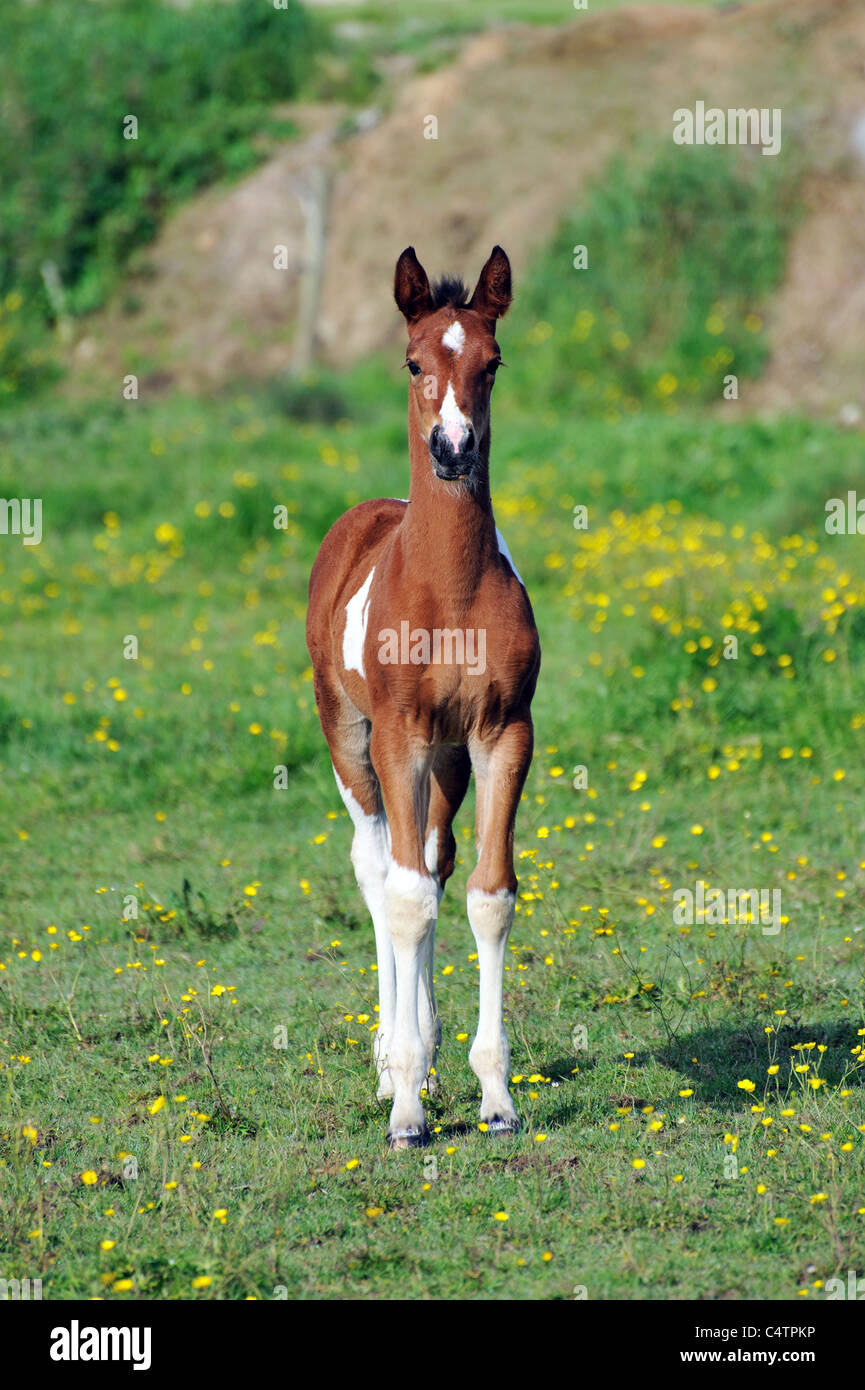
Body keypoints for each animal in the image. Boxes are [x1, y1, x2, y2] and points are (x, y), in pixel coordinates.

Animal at [306, 245, 540, 1148]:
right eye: (412, 363)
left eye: (492, 362)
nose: (451, 447)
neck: (449, 590)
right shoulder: (397, 737)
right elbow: (402, 901)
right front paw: (405, 1105)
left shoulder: (502, 734)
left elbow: (485, 895)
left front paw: (493, 1094)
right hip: (350, 739)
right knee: (380, 871)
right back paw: (388, 1063)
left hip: (446, 762)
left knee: (435, 867)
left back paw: (432, 1055)